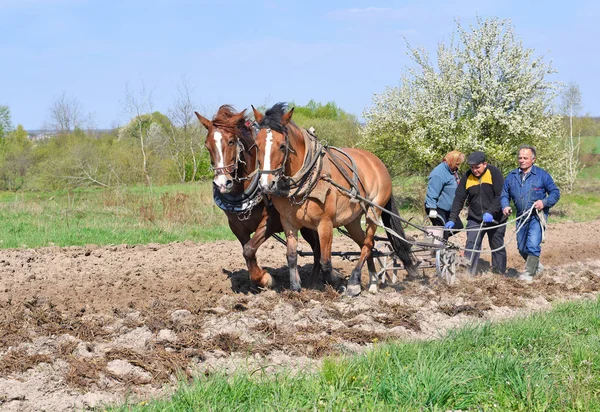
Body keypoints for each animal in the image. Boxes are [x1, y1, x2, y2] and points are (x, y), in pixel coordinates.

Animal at [195, 108, 322, 292]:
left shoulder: (271, 221)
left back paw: (315, 282)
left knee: (318, 248)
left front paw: (266, 279)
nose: (222, 183)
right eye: (207, 145)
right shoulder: (237, 227)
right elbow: (247, 252)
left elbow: (249, 249)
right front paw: (256, 281)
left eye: (231, 141)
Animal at [251, 103, 414, 296]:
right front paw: (295, 288)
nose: (266, 184)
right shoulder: (288, 223)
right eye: (256, 145)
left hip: (374, 210)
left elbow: (325, 261)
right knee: (366, 244)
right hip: (352, 220)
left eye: (282, 146)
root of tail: (376, 161)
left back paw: (354, 282)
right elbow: (291, 256)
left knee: (367, 243)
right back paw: (373, 281)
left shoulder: (325, 224)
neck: (308, 177)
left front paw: (339, 282)